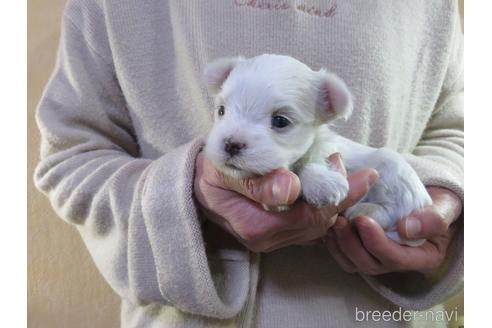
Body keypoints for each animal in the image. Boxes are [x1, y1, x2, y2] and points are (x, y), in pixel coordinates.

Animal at [202, 55, 428, 247]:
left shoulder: (326, 148)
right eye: (221, 111)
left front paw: (322, 183)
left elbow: (311, 162)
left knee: (395, 212)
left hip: (394, 174)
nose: (231, 144)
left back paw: (365, 211)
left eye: (280, 121)